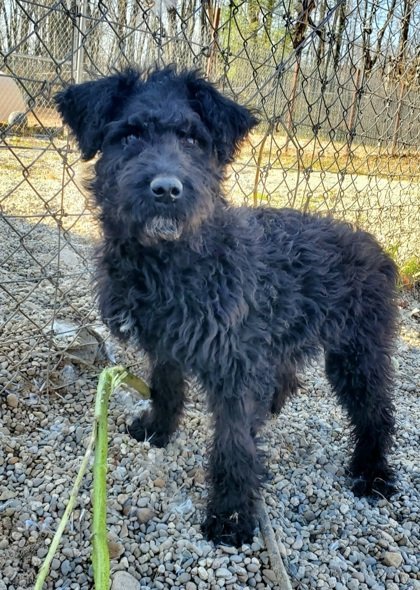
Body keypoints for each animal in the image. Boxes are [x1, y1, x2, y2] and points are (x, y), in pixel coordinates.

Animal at [54, 67, 398, 548]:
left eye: (192, 139)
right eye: (130, 134)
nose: (166, 189)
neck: (175, 262)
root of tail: (374, 245)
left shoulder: (235, 365)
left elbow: (233, 445)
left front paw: (232, 514)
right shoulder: (169, 344)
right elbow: (165, 386)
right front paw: (159, 428)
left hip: (357, 354)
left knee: (376, 412)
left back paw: (372, 471)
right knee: (287, 377)